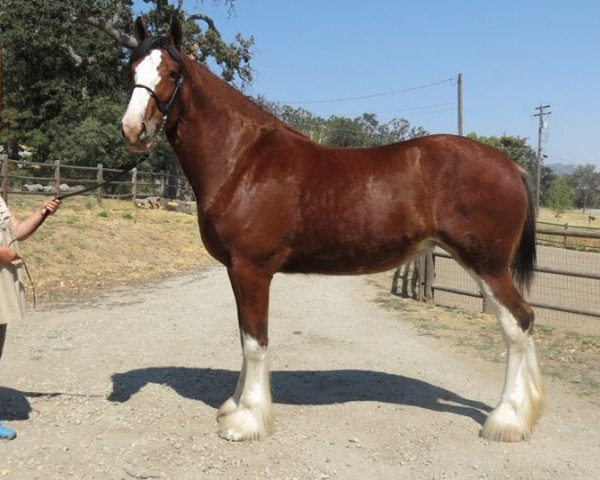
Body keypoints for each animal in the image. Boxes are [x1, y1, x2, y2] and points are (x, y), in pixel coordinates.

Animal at [119, 19, 540, 446]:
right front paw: (234, 407)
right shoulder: (237, 271)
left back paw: (507, 421)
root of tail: (511, 167)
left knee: (518, 323)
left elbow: (255, 342)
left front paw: (246, 421)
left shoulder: (252, 269)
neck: (243, 160)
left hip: (488, 266)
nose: (133, 129)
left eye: (173, 73)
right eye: (132, 69)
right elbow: (244, 337)